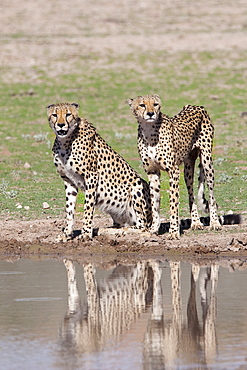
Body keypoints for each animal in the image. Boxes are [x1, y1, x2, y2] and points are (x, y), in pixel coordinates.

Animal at [45, 102, 151, 241]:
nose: (61, 124)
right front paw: (67, 234)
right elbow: (69, 209)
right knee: (122, 224)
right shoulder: (68, 180)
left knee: (142, 226)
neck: (65, 141)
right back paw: (105, 230)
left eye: (68, 114)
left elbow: (88, 207)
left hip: (137, 186)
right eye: (54, 115)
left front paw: (85, 233)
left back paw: (119, 232)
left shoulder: (91, 176)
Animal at [127, 94, 220, 240]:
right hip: (188, 168)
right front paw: (154, 229)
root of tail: (196, 106)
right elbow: (154, 203)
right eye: (142, 105)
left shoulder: (173, 171)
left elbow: (173, 204)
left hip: (206, 160)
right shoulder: (152, 172)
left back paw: (215, 223)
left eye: (155, 104)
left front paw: (174, 232)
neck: (149, 130)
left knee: (211, 195)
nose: (150, 113)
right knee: (191, 194)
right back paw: (196, 222)